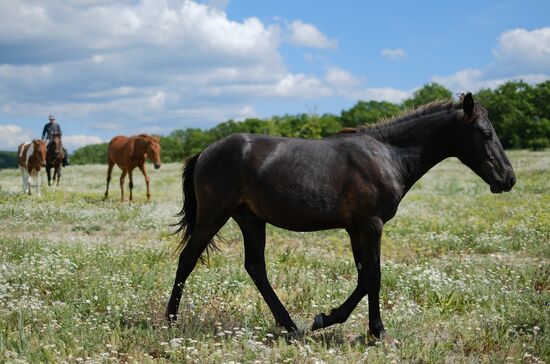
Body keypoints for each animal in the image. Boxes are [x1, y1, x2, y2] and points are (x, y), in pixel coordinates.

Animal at [167, 93, 516, 338]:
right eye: (485, 133)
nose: (508, 179)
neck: (387, 155)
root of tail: (205, 152)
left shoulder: (355, 228)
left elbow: (364, 276)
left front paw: (329, 319)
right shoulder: (371, 225)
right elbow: (373, 275)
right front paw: (372, 329)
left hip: (251, 221)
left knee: (255, 268)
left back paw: (291, 326)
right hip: (213, 217)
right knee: (188, 259)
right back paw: (170, 319)